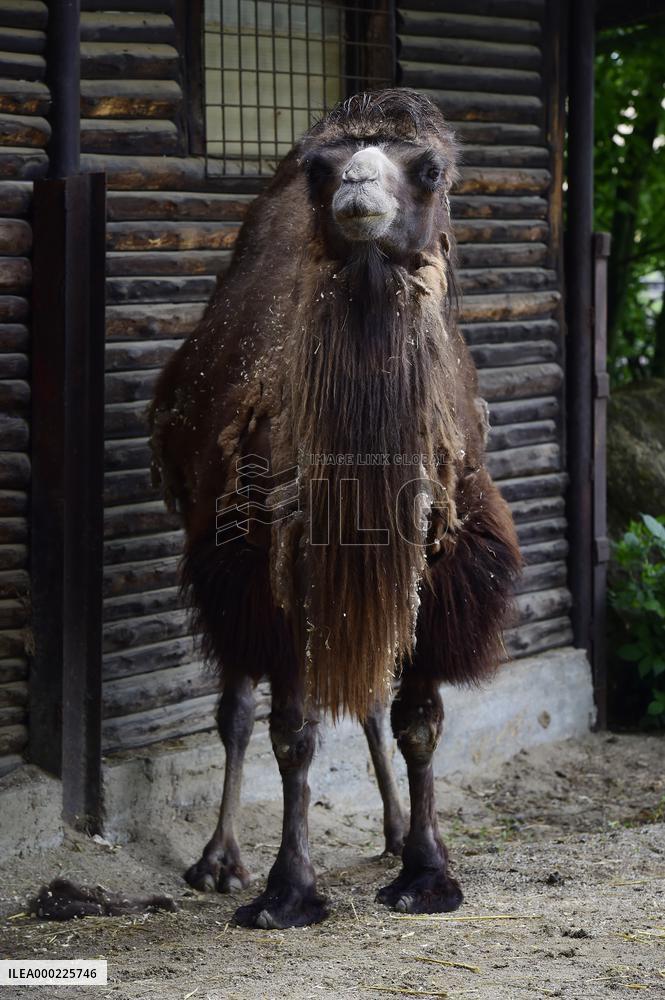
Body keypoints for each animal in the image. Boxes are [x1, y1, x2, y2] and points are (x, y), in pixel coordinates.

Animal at [149, 88, 521, 929]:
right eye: (321, 169)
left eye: (429, 168)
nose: (355, 184)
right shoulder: (274, 574)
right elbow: (293, 733)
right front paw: (286, 890)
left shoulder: (440, 573)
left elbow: (418, 724)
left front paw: (426, 871)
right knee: (238, 706)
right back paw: (219, 861)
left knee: (369, 698)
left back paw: (390, 830)